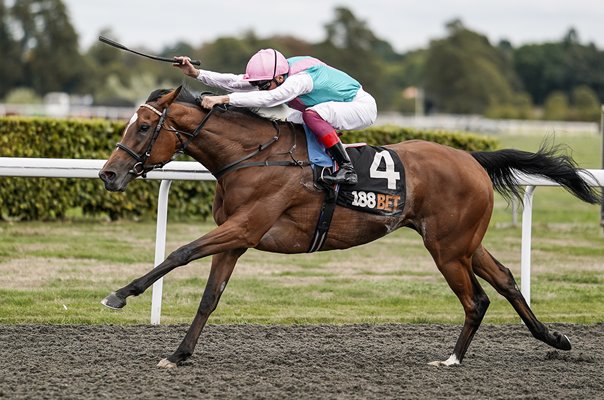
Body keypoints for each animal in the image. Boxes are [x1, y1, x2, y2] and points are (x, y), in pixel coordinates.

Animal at [99, 87, 600, 368]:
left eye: (142, 127)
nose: (108, 174)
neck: (255, 155)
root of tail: (472, 157)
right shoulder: (236, 239)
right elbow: (209, 298)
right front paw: (179, 354)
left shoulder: (245, 228)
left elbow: (179, 253)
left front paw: (119, 294)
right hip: (464, 243)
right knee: (508, 281)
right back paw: (553, 338)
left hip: (447, 248)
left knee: (476, 299)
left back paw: (453, 358)